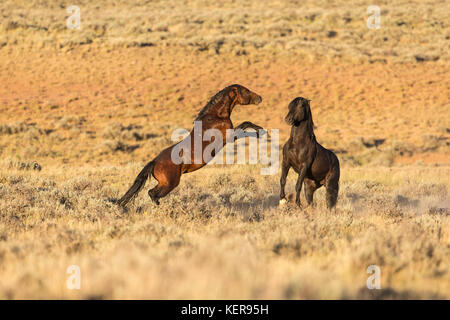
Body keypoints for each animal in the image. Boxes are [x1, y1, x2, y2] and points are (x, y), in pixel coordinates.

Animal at [118, 84, 264, 206]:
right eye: (246, 90)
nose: (260, 98)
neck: (216, 116)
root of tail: (154, 162)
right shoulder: (229, 137)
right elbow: (245, 124)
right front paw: (260, 132)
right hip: (169, 183)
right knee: (152, 193)